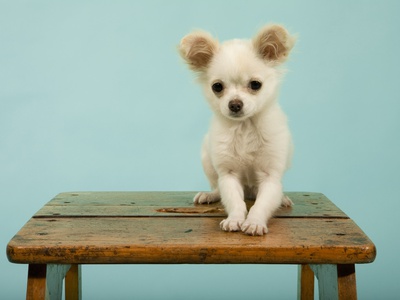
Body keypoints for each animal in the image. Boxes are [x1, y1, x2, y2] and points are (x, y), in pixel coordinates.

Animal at [180, 24, 296, 236]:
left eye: (255, 85)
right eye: (217, 87)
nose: (234, 104)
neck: (245, 127)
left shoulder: (270, 177)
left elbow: (261, 204)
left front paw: (255, 222)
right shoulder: (228, 175)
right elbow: (235, 202)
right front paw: (234, 219)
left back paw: (282, 199)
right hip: (207, 161)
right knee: (218, 188)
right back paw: (209, 194)